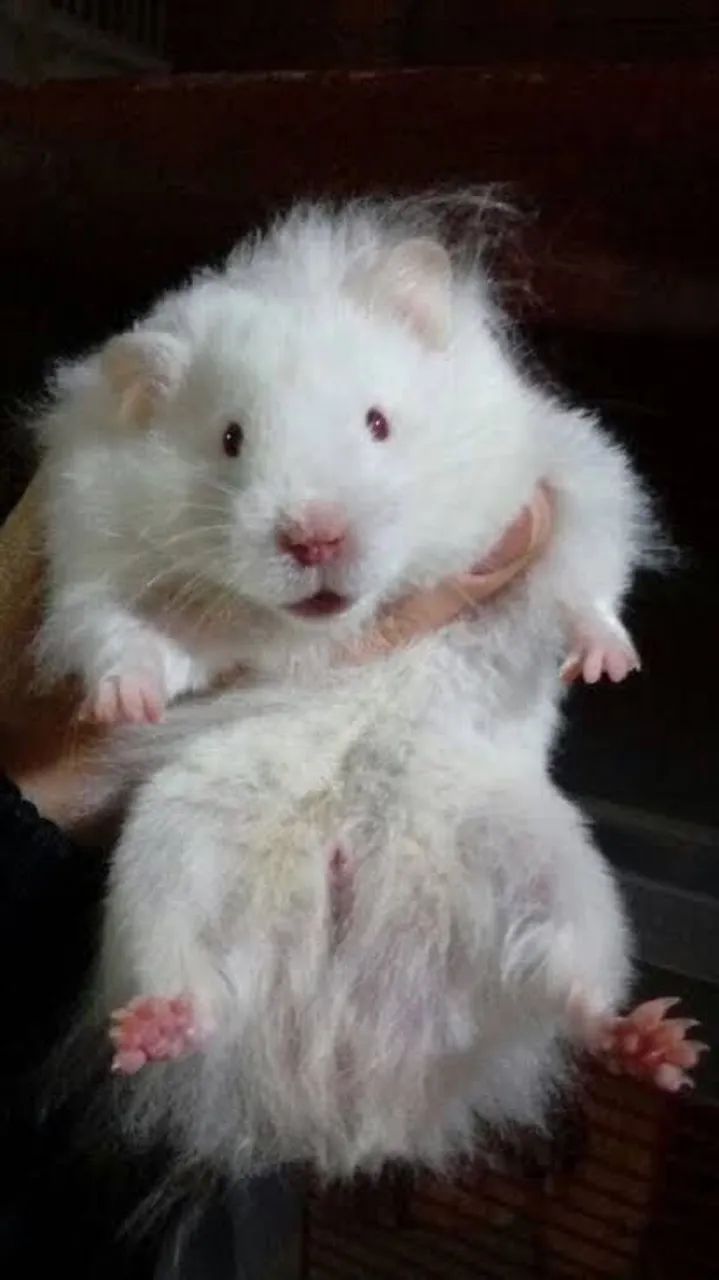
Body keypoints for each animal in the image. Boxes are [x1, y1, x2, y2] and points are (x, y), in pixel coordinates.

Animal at [60, 198, 695, 1183]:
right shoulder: (96, 569)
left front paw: (602, 665)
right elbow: (125, 639)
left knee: (568, 988)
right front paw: (124, 705)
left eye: (377, 423)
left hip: (554, 871)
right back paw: (152, 1030)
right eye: (229, 440)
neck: (337, 626)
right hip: (164, 863)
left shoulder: (564, 473)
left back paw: (658, 1044)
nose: (313, 537)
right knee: (199, 986)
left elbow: (584, 574)